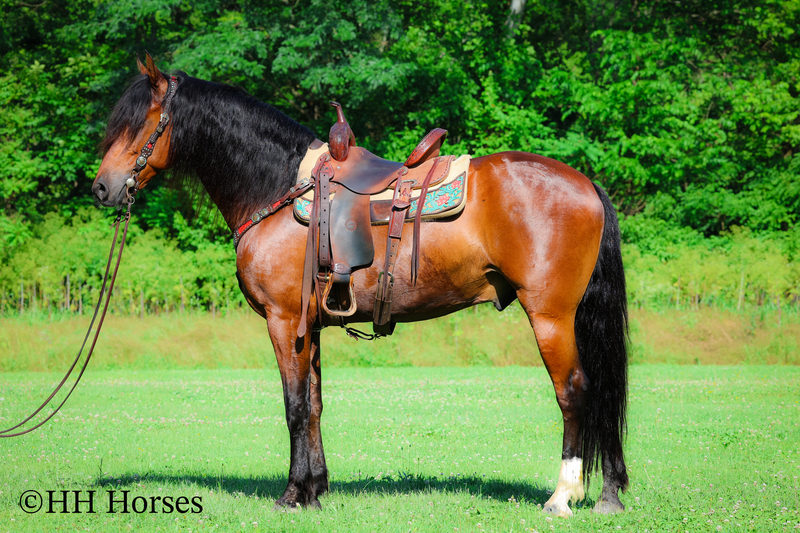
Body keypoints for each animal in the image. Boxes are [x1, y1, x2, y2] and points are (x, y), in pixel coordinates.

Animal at [92, 55, 630, 517]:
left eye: (138, 124)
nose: (101, 188)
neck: (278, 189)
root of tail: (585, 184)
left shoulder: (283, 321)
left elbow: (293, 407)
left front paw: (293, 494)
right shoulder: (309, 325)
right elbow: (313, 405)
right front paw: (315, 488)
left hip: (550, 316)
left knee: (575, 392)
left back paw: (562, 496)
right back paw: (609, 495)